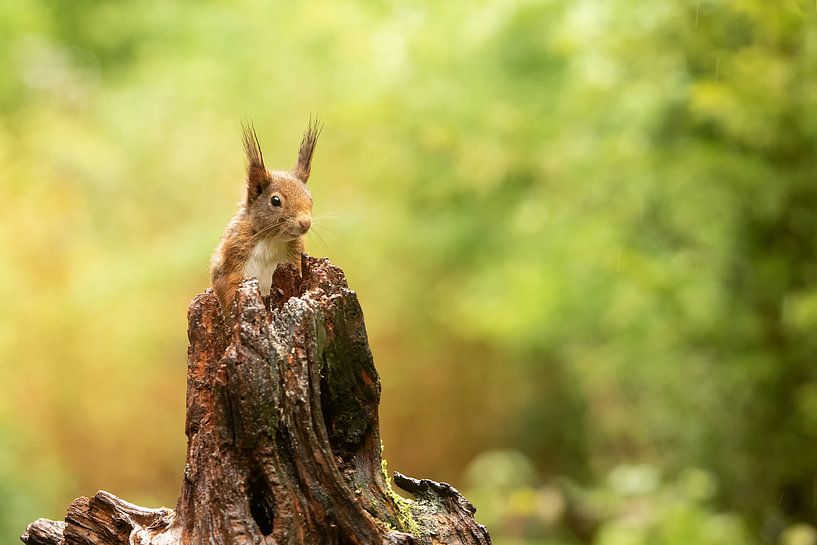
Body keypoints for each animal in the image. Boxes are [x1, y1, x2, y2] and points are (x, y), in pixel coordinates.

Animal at [209, 120, 320, 312]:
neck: (272, 240)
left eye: (310, 198)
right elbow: (226, 287)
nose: (305, 223)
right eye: (275, 201)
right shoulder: (232, 256)